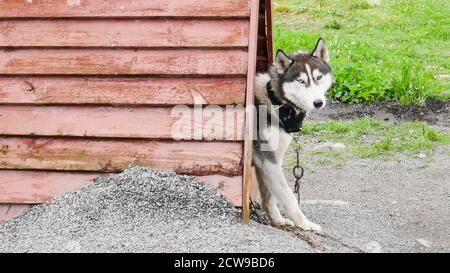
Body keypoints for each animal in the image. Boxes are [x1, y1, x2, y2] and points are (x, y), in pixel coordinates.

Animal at [255, 38, 332, 230]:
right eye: (301, 81)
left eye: (318, 77)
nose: (318, 103)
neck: (278, 105)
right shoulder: (267, 159)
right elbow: (288, 195)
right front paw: (304, 223)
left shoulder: (271, 160)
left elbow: (270, 196)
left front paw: (277, 220)